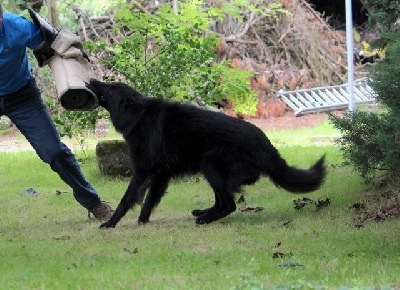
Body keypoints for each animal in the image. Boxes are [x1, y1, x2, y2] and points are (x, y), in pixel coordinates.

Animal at [85, 79, 324, 229]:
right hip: (213, 170)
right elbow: (150, 200)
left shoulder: (142, 172)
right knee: (222, 201)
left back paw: (205, 220)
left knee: (229, 204)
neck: (138, 114)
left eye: (109, 87)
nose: (91, 79)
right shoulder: (160, 175)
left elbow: (127, 199)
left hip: (210, 164)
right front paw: (143, 221)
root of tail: (268, 148)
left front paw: (110, 223)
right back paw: (204, 213)